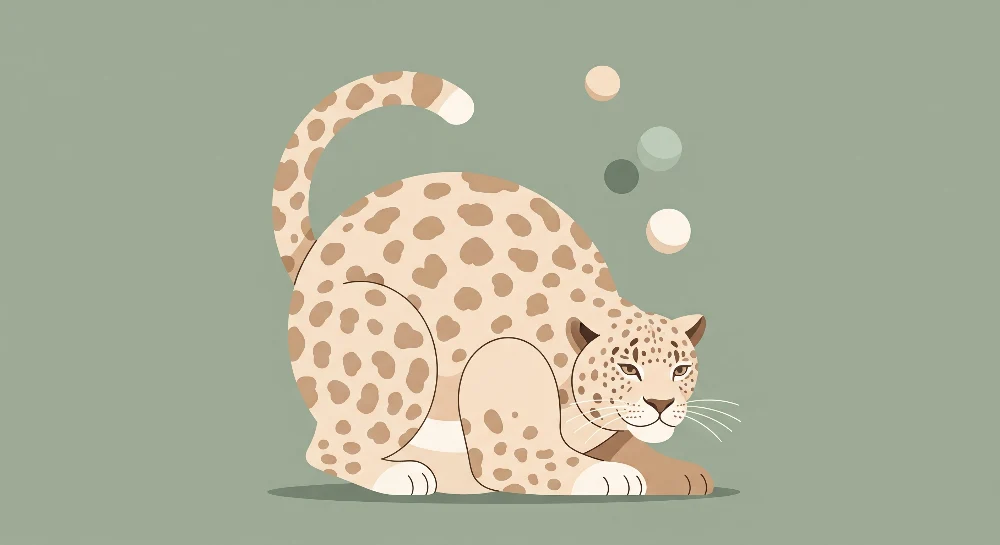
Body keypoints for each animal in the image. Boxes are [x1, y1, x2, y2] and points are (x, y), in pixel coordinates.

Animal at [272, 70, 714, 496]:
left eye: (680, 370)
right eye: (627, 368)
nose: (661, 403)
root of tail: (315, 251)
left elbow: (626, 444)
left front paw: (682, 474)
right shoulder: (506, 409)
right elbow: (542, 461)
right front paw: (611, 476)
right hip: (394, 328)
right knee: (331, 448)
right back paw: (404, 475)